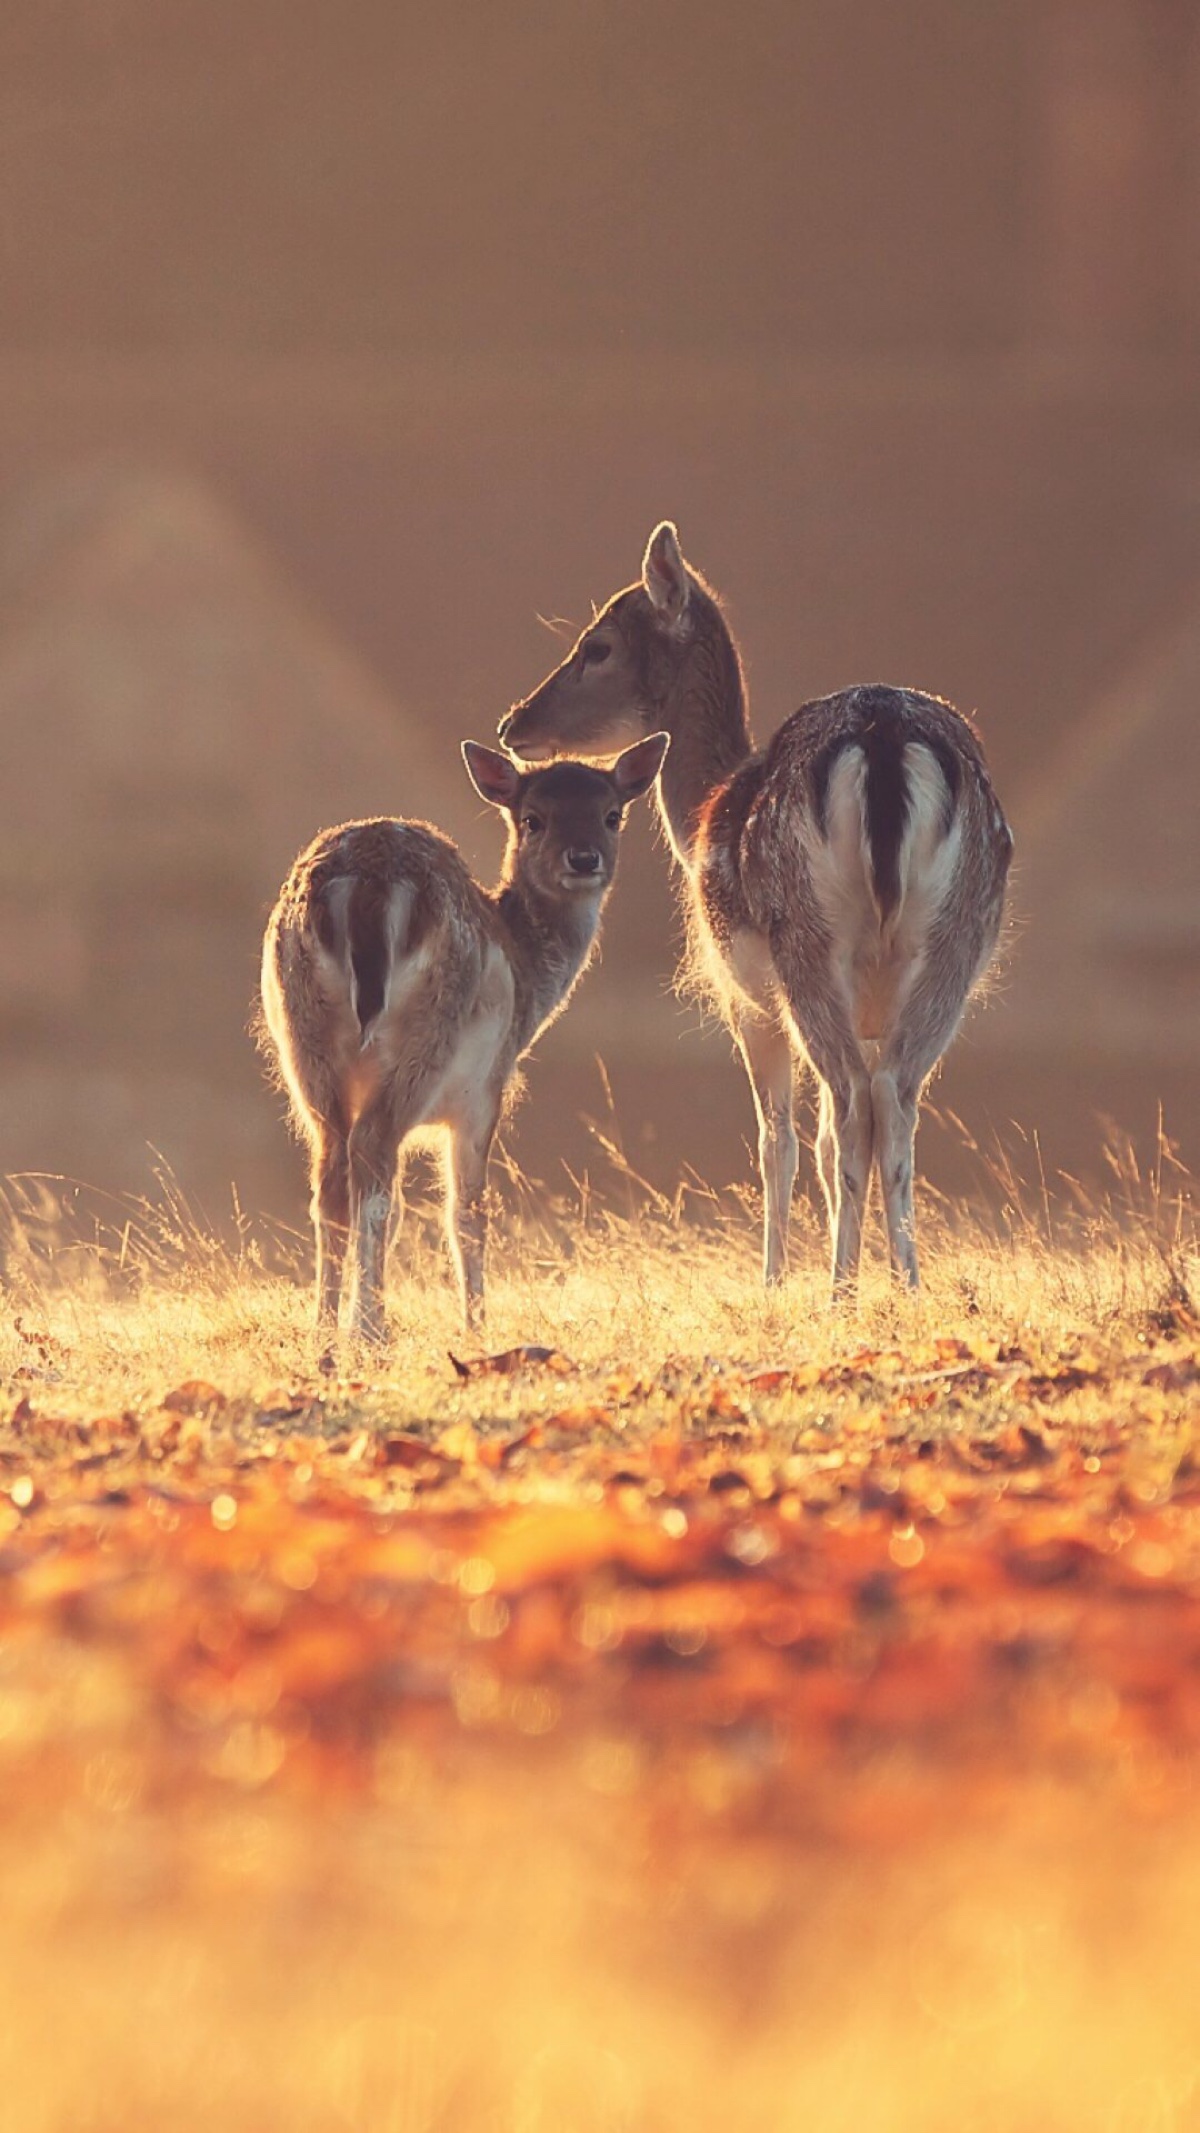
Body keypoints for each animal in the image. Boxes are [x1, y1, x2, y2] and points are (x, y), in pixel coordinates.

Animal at [263, 729, 673, 1330]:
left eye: (612, 814)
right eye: (533, 818)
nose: (583, 858)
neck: (528, 977)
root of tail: (365, 888)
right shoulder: (484, 1091)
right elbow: (467, 1211)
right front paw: (477, 1325)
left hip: (302, 1042)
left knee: (332, 1174)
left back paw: (326, 1331)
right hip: (431, 1036)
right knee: (374, 1151)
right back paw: (370, 1328)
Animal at [498, 524, 1014, 1305]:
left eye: (598, 645)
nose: (514, 722)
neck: (702, 811)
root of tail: (884, 737)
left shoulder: (745, 996)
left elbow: (779, 1142)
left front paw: (771, 1283)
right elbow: (825, 1136)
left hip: (803, 942)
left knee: (851, 1102)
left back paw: (840, 1291)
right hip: (952, 943)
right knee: (892, 1099)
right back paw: (907, 1286)